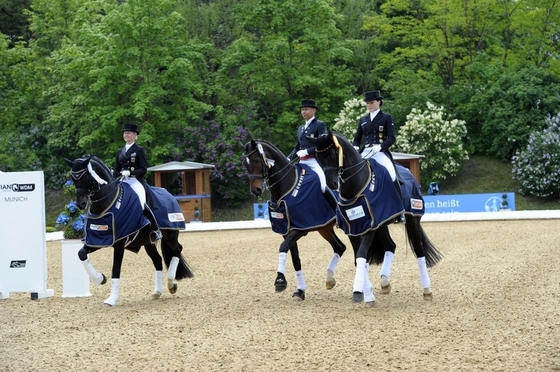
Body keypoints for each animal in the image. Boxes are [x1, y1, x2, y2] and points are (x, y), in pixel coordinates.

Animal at [64, 154, 192, 306]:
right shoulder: (99, 240)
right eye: (73, 179)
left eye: (86, 177)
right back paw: (157, 291)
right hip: (148, 242)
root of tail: (170, 195)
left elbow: (115, 269)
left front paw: (111, 299)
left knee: (177, 250)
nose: (80, 204)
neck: (108, 204)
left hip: (170, 234)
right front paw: (100, 279)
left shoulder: (119, 243)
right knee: (158, 260)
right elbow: (81, 254)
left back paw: (171, 283)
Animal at [243, 138, 348, 300]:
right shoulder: (287, 231)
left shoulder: (300, 229)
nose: (256, 190)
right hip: (324, 229)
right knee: (340, 247)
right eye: (245, 164)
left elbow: (282, 247)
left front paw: (280, 280)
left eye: (256, 160)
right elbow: (295, 259)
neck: (287, 189)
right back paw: (329, 280)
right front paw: (300, 290)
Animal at [312, 131, 440, 306]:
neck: (356, 188)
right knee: (391, 245)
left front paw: (363, 294)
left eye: (332, 153)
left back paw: (427, 291)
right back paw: (385, 282)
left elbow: (361, 255)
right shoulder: (354, 229)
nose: (332, 183)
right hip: (382, 225)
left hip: (412, 221)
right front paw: (362, 292)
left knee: (419, 252)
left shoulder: (370, 227)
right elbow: (359, 258)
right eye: (318, 156)